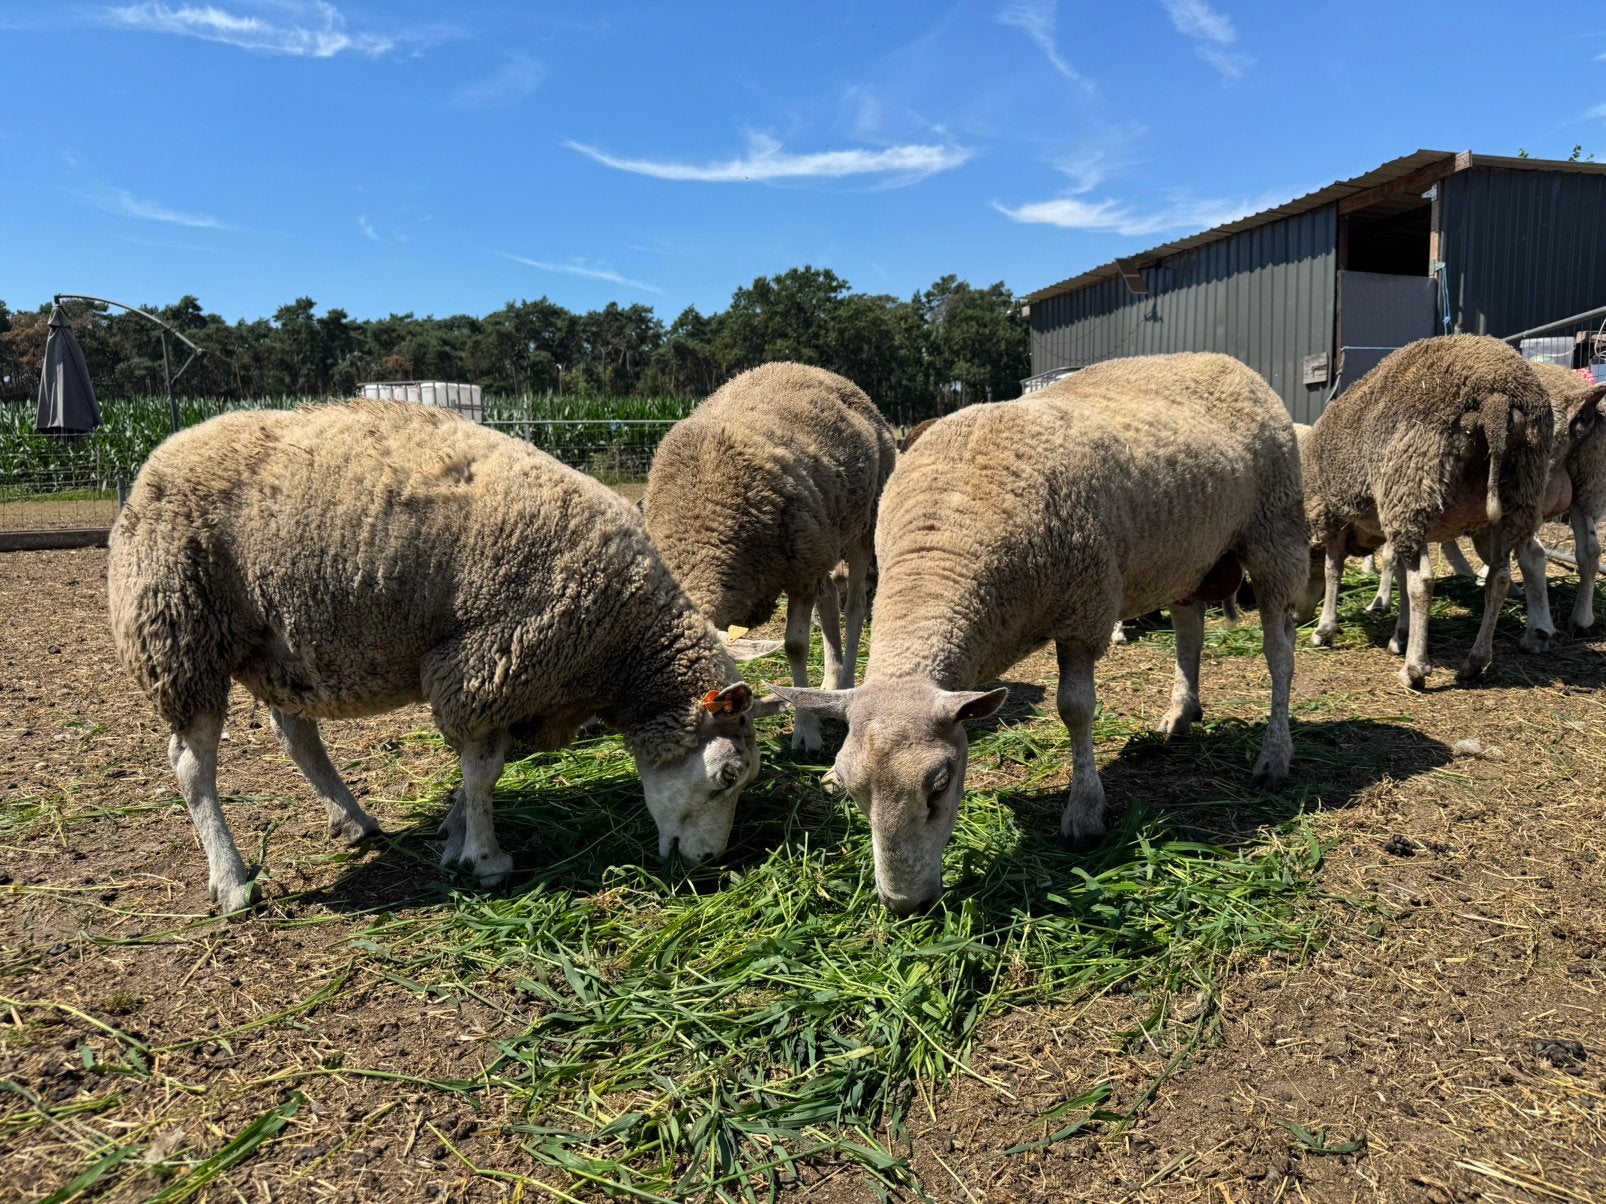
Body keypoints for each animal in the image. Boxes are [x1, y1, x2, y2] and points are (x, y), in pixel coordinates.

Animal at [107, 400, 780, 913]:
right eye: (726, 776)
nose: (708, 864)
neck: (621, 646)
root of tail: (156, 457)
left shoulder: (509, 684)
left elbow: (479, 767)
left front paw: (454, 836)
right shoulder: (484, 665)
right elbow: (484, 772)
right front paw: (486, 859)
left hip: (281, 650)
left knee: (297, 738)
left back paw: (353, 821)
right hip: (180, 631)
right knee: (192, 765)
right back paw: (232, 880)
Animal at [643, 362, 897, 752]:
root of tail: (811, 368)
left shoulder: (801, 572)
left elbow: (795, 645)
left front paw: (806, 730)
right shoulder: (805, 564)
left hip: (862, 527)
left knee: (854, 606)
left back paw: (847, 682)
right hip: (822, 540)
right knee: (828, 601)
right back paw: (829, 683)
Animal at [773, 352, 1308, 915]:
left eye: (940, 784)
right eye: (852, 788)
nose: (904, 904)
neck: (946, 545)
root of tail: (1225, 361)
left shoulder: (1085, 611)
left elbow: (1075, 709)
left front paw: (1084, 813)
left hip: (1275, 530)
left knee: (1279, 653)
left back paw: (1273, 756)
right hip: (1188, 556)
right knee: (1189, 629)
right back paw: (1181, 713)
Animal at [1304, 335, 1554, 689]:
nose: (1298, 617)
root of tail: (1496, 396)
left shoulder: (1333, 514)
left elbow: (1333, 569)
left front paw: (1325, 629)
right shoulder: (1386, 519)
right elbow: (1394, 570)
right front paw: (1400, 634)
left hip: (1413, 489)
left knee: (1423, 581)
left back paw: (1415, 669)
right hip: (1515, 499)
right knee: (1500, 577)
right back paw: (1476, 661)